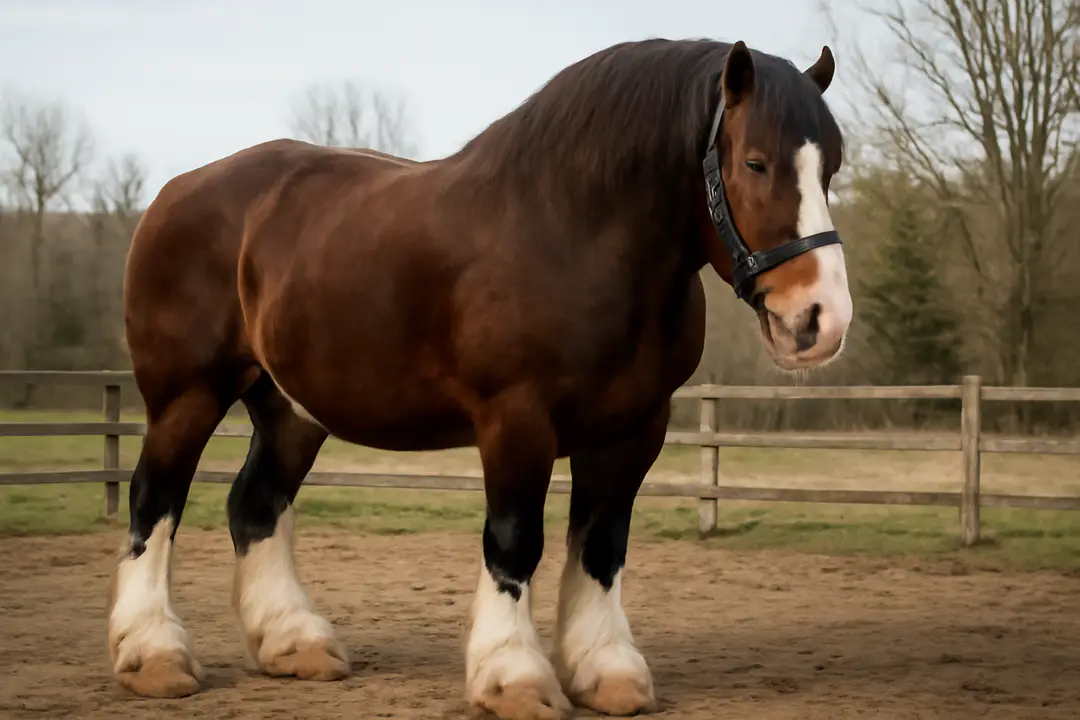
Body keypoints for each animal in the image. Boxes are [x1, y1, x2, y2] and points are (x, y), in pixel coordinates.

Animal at [108, 37, 851, 719]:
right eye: (754, 162)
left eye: (833, 166)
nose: (821, 318)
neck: (575, 233)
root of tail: (175, 192)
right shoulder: (515, 418)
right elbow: (515, 540)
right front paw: (513, 677)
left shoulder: (633, 429)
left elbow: (602, 546)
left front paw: (605, 671)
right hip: (186, 395)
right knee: (155, 501)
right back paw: (153, 655)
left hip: (289, 409)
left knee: (256, 504)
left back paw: (294, 643)